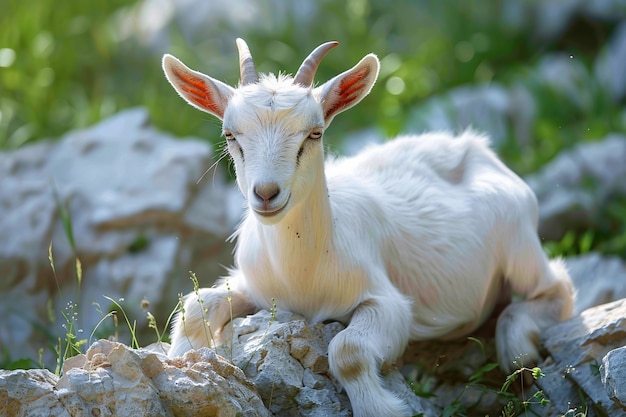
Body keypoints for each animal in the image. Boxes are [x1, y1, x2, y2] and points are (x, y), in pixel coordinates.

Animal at [161, 39, 572, 416]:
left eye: (314, 133)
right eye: (230, 135)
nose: (266, 194)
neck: (302, 274)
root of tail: (477, 148)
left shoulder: (388, 303)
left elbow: (348, 350)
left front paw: (382, 408)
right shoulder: (256, 287)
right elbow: (195, 308)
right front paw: (181, 364)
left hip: (519, 243)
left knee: (557, 289)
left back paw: (518, 354)